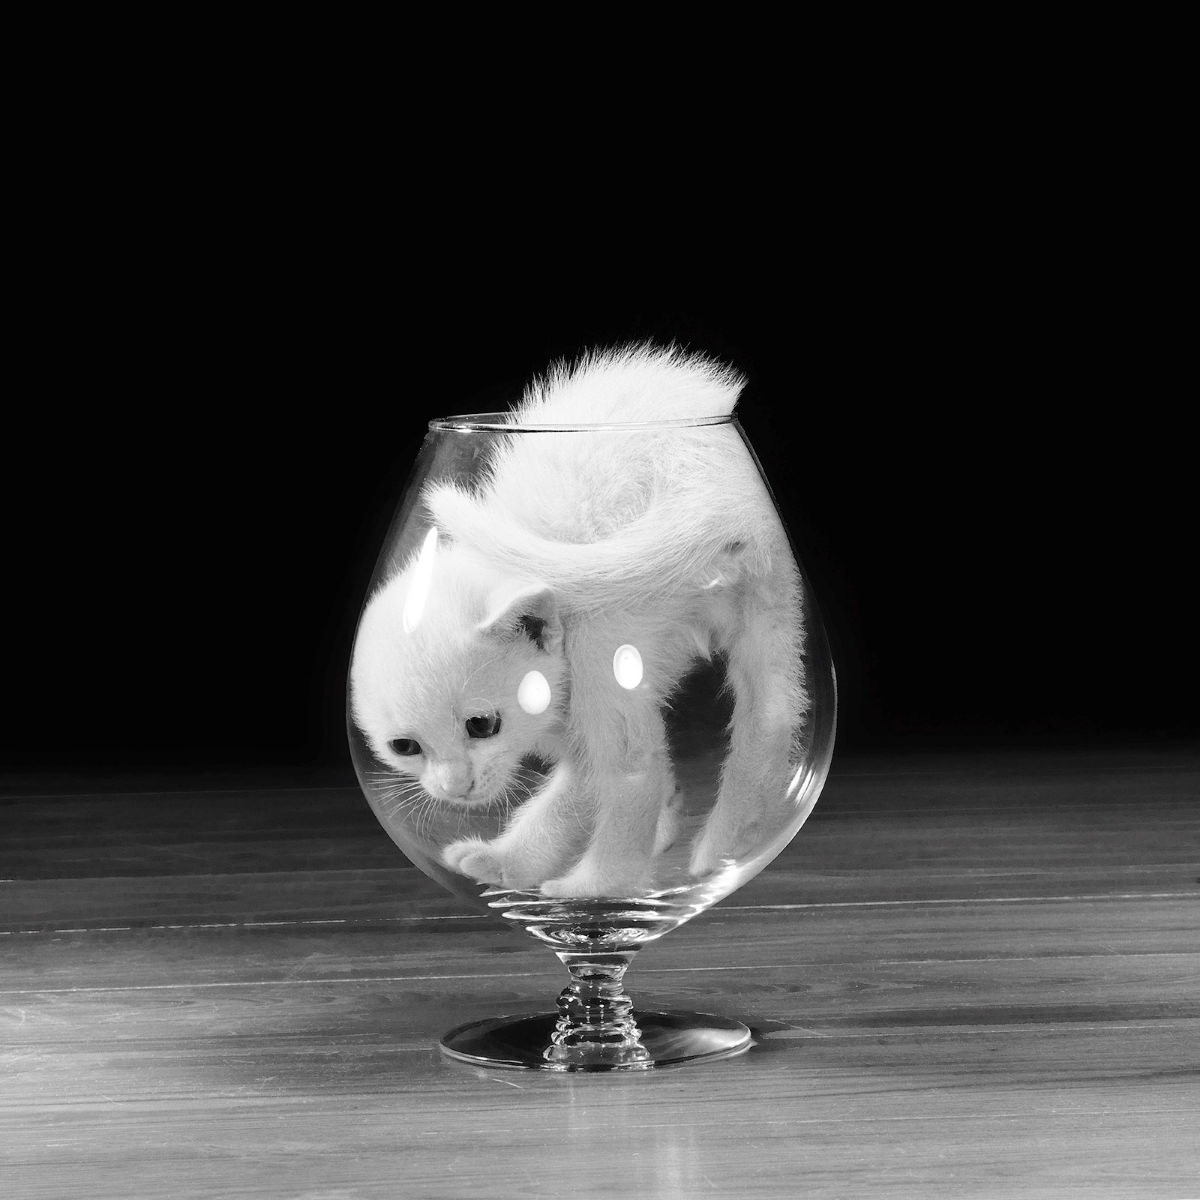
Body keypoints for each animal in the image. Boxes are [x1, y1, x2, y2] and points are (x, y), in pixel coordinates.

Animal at [350, 343, 811, 897]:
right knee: (773, 711)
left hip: (623, 615)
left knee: (636, 772)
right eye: (404, 746)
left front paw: (559, 878)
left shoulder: (592, 657)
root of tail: (701, 475)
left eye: (481, 725)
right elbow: (579, 790)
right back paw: (729, 840)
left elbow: (618, 776)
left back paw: (603, 883)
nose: (457, 789)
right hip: (770, 596)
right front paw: (505, 864)